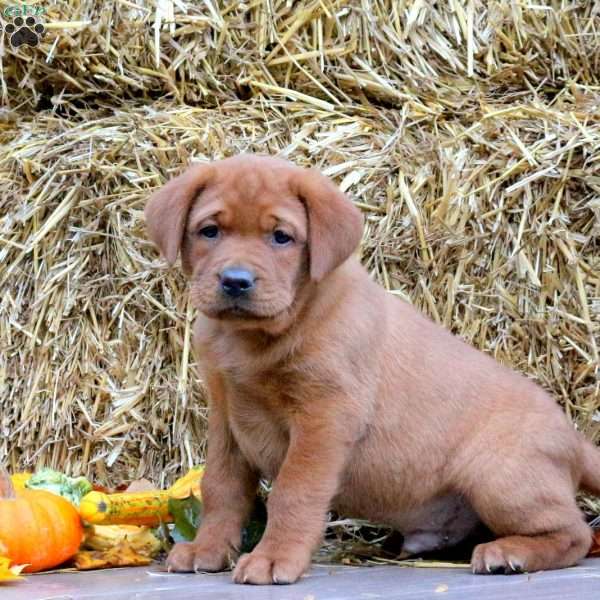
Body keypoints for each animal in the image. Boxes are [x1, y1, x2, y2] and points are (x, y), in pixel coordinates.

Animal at [145, 152, 600, 584]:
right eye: (209, 231)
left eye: (281, 237)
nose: (235, 281)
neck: (253, 339)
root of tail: (574, 439)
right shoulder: (227, 419)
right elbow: (221, 489)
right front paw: (206, 550)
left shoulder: (325, 416)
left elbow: (293, 491)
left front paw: (274, 557)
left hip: (498, 475)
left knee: (575, 534)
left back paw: (510, 553)